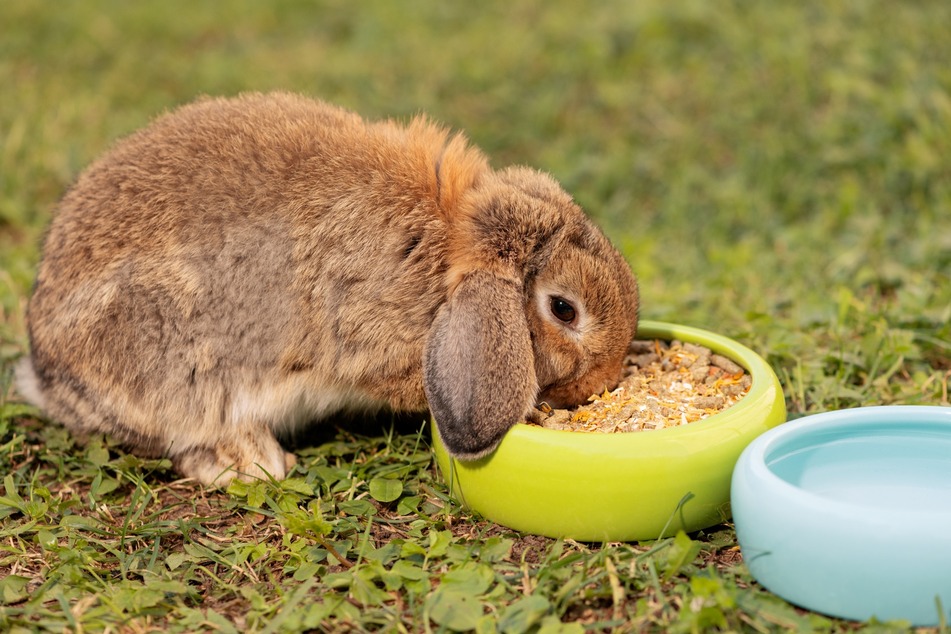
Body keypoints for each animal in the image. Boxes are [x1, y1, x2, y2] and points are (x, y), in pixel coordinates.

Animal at [14, 91, 640, 484]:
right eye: (564, 309)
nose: (603, 384)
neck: (450, 242)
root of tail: (47, 374)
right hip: (170, 366)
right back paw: (251, 463)